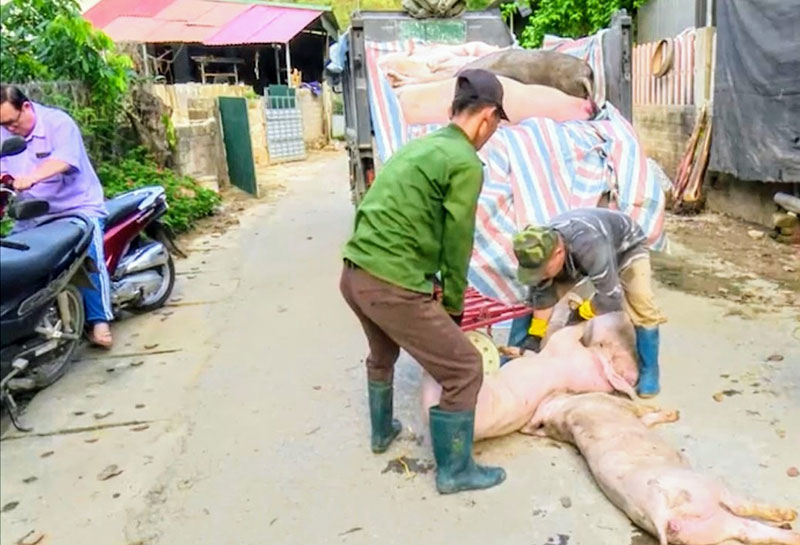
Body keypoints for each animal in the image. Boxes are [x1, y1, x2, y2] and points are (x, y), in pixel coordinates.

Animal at [418, 310, 636, 438]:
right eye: (606, 344)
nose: (633, 375)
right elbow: (532, 352)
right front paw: (506, 350)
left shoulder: (564, 347)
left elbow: (573, 330)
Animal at [528, 392, 796, 544]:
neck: (562, 414)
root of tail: (658, 512)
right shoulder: (611, 401)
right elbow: (642, 410)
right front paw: (672, 413)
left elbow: (647, 419)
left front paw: (672, 414)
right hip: (704, 488)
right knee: (743, 507)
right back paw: (790, 514)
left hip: (708, 528)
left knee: (752, 532)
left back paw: (793, 533)